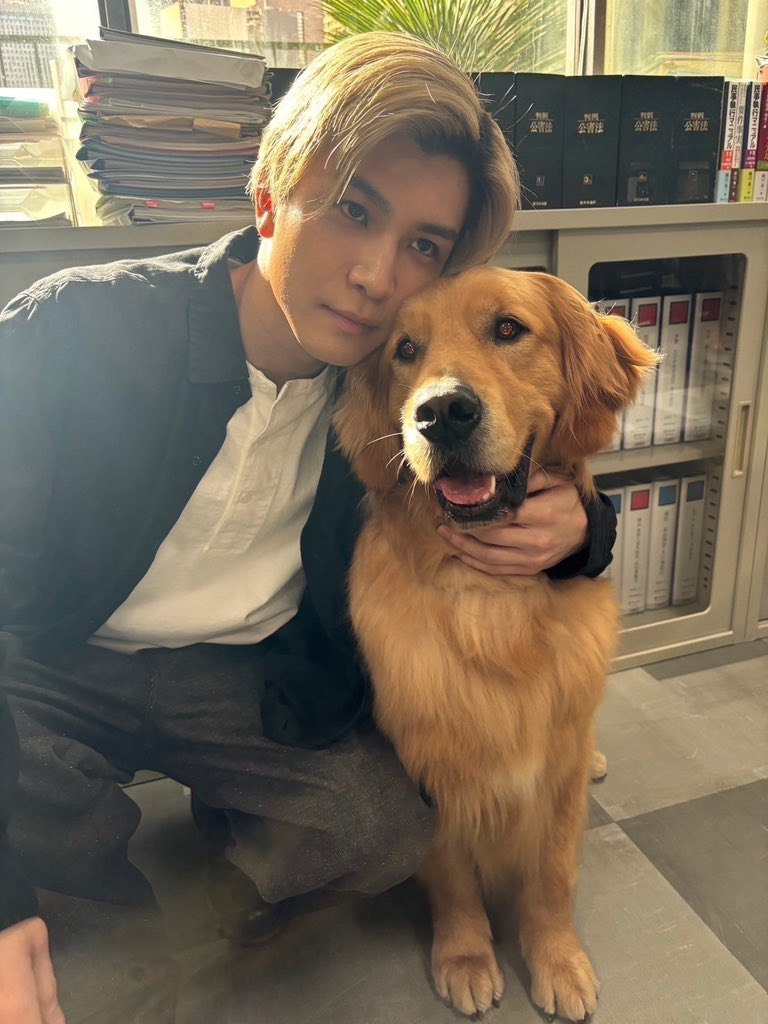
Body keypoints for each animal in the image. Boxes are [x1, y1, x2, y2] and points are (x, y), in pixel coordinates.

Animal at [334, 267, 659, 1021]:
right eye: (405, 349)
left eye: (508, 328)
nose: (442, 412)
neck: (490, 598)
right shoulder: (433, 767)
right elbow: (452, 876)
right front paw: (466, 957)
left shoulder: (555, 769)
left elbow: (553, 875)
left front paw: (559, 959)